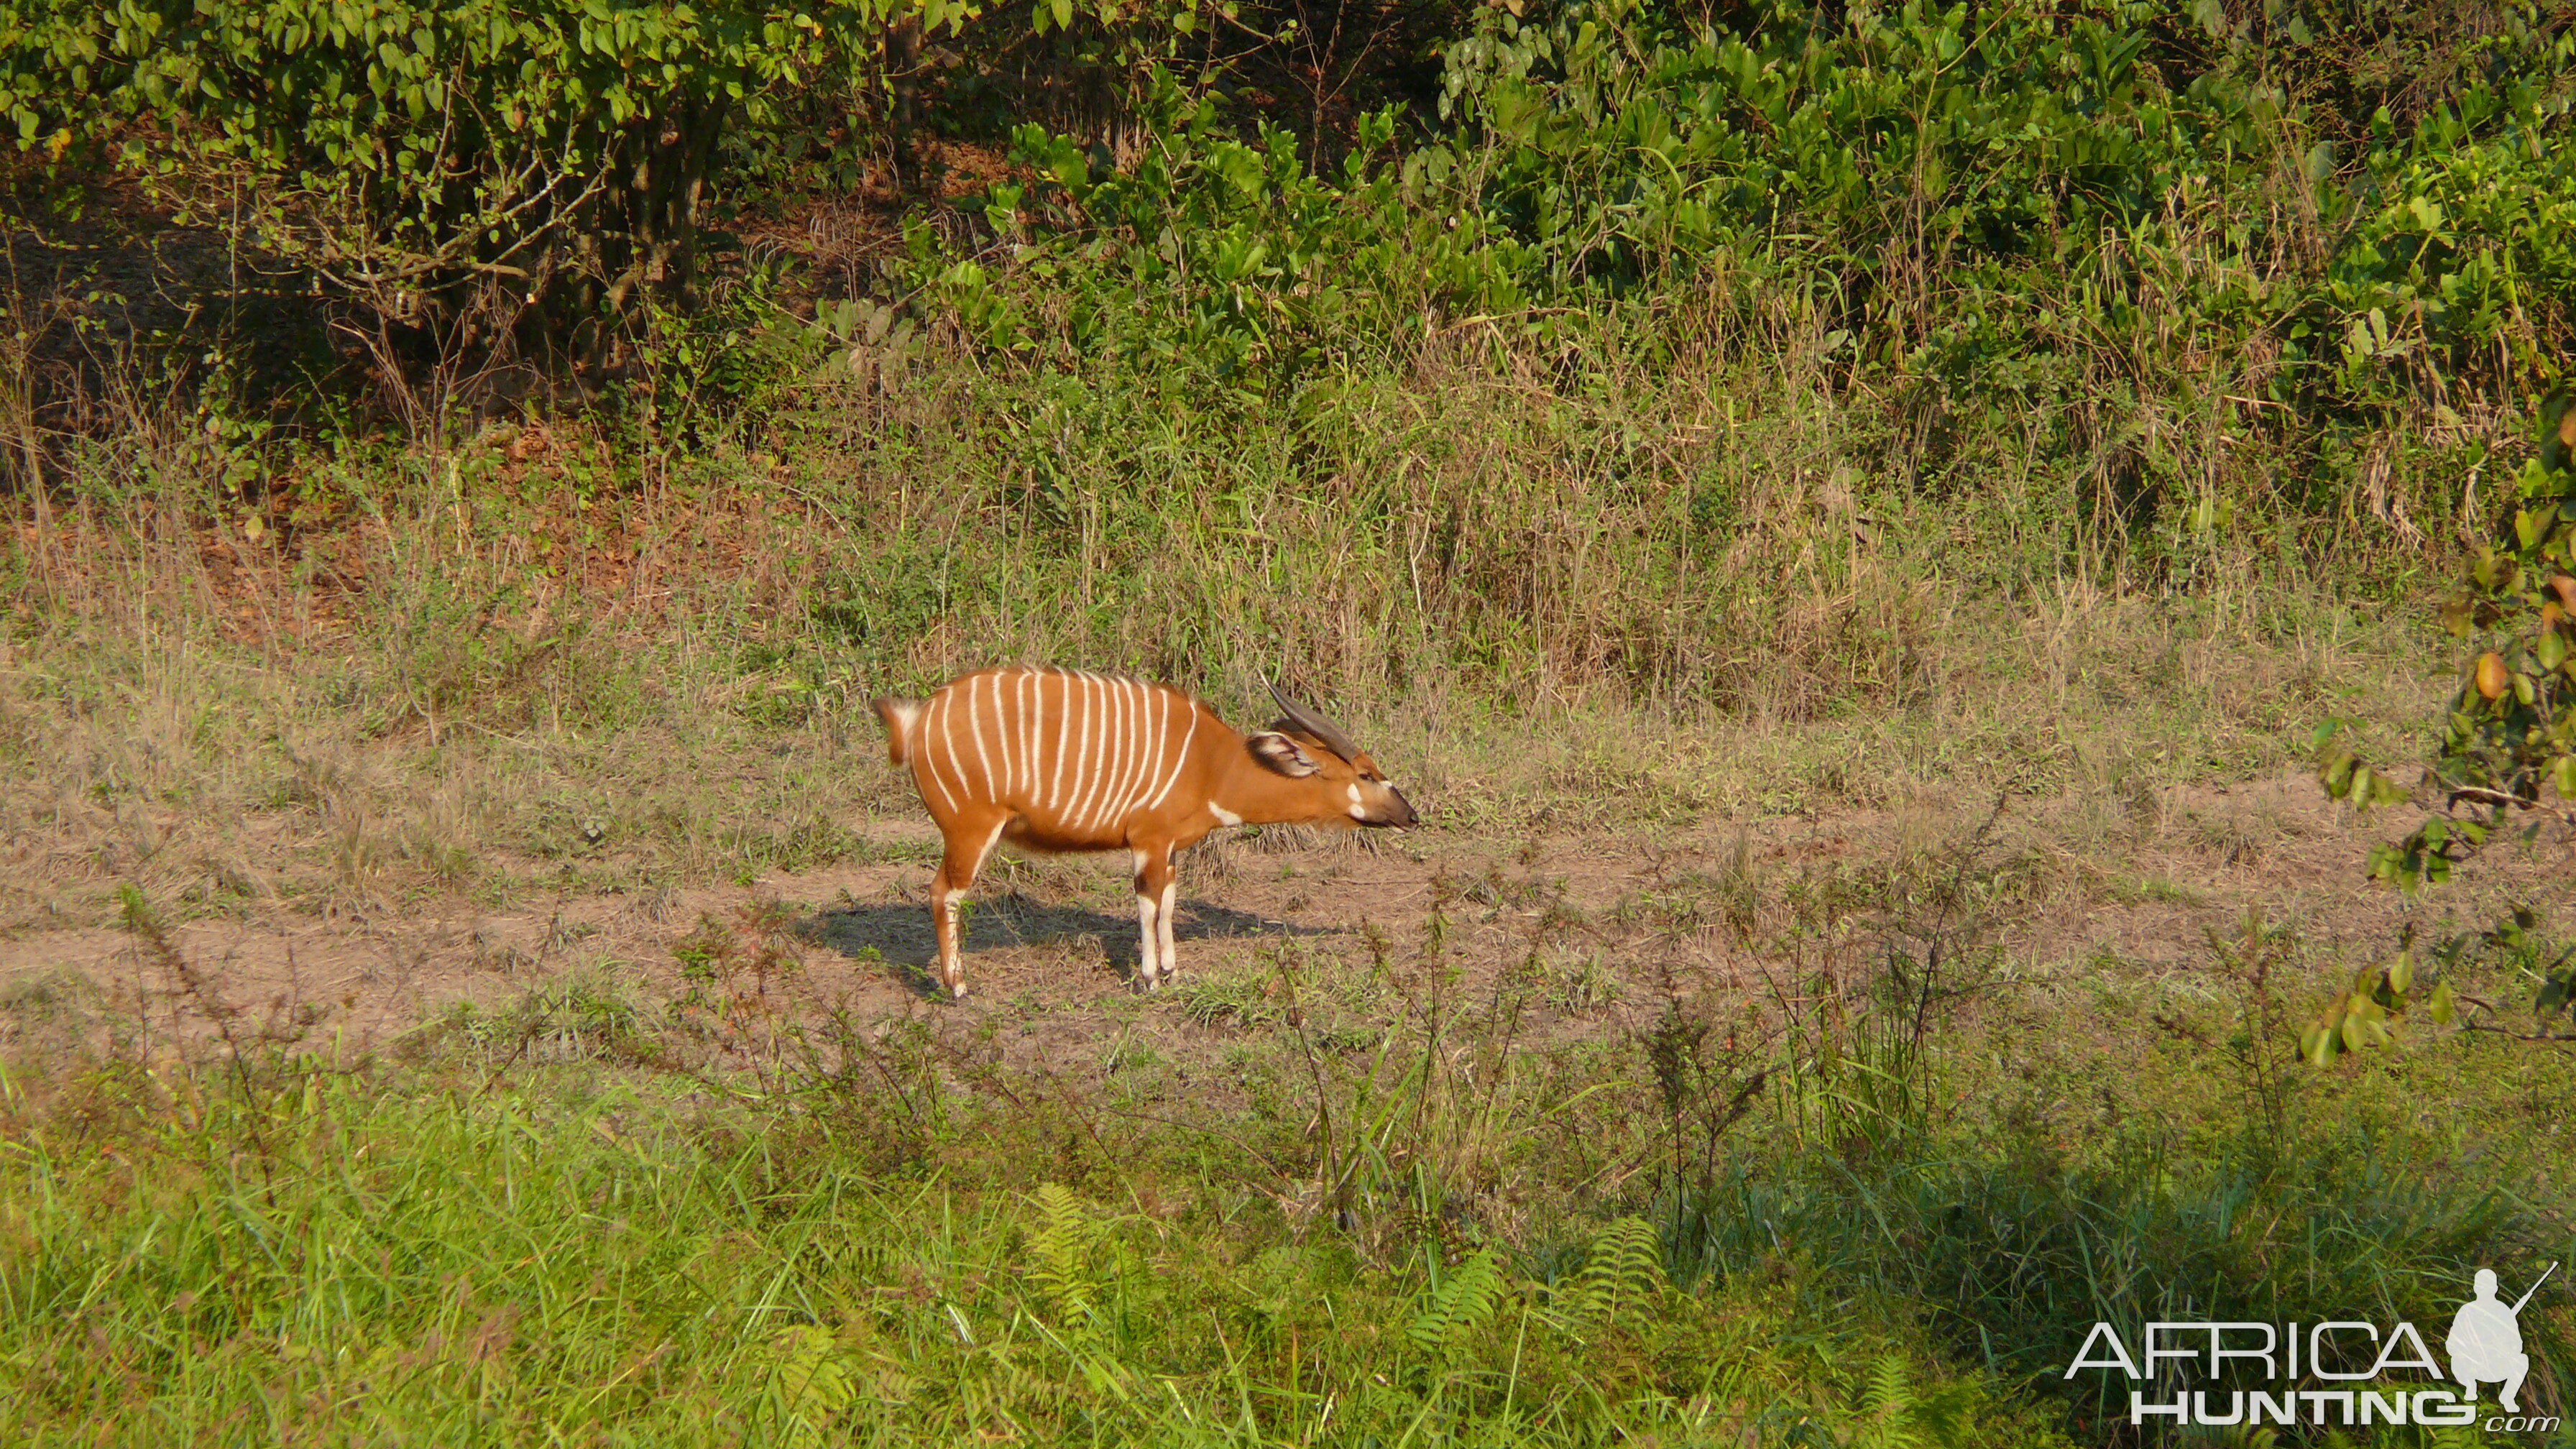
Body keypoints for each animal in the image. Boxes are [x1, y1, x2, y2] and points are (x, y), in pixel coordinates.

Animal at [875, 670, 1422, 990]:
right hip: (971, 830)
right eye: (1365, 774)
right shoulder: (1147, 841)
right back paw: (957, 987)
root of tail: (918, 721)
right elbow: (1147, 903)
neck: (1212, 765)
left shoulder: (1171, 847)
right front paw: (1148, 978)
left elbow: (1169, 902)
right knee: (943, 893)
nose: (1411, 816)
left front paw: (1171, 969)